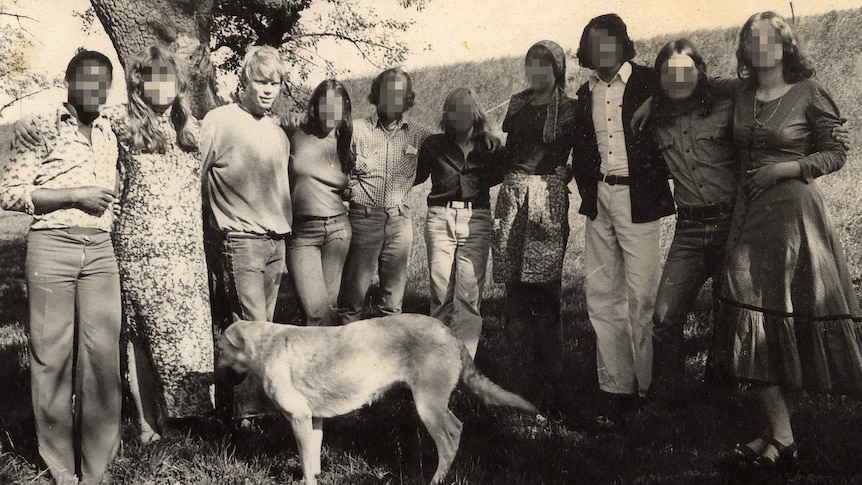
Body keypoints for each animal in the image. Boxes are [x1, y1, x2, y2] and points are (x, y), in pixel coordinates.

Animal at [216, 312, 536, 482]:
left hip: (427, 407)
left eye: (221, 350)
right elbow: (313, 456)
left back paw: (437, 479)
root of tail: (446, 330)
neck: (265, 345)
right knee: (456, 429)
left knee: (449, 439)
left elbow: (305, 460)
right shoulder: (313, 419)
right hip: (434, 404)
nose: (215, 378)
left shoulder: (298, 417)